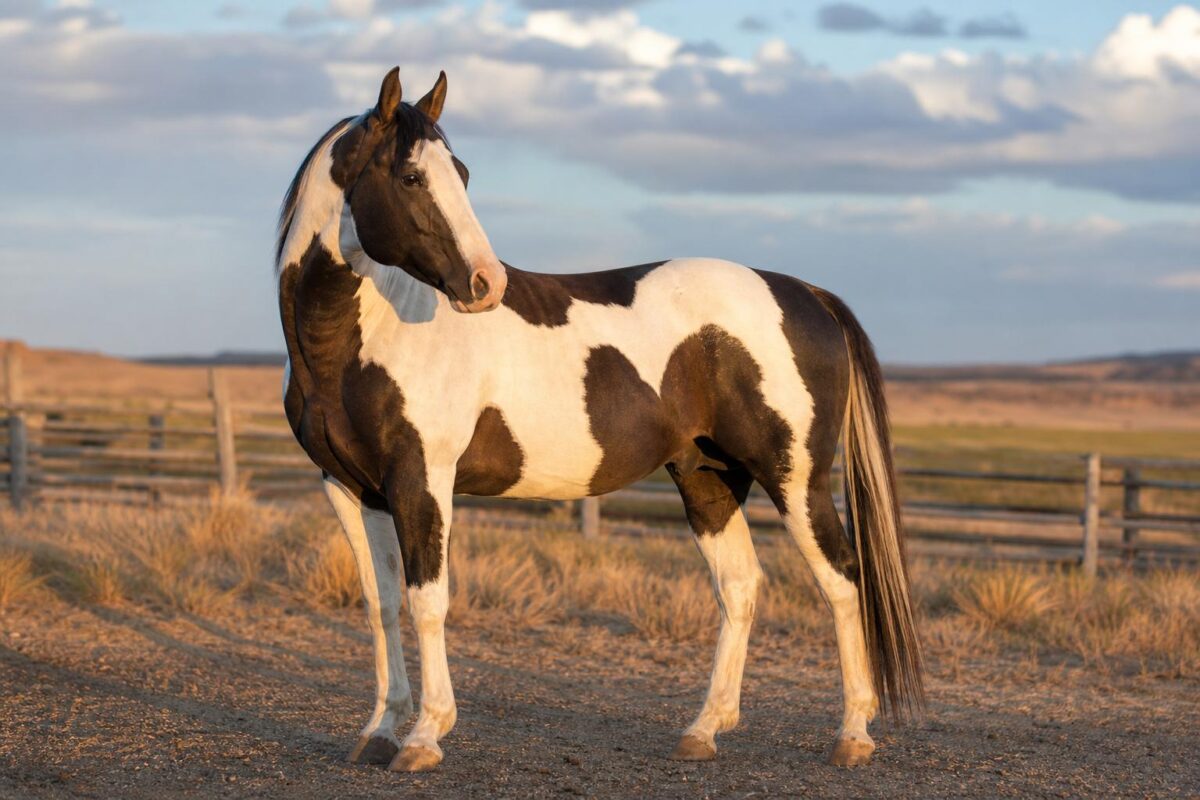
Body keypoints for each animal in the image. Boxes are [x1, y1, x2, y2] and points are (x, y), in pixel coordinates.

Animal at [276, 67, 924, 773]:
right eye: (413, 176)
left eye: (463, 173)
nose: (486, 284)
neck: (364, 339)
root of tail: (805, 293)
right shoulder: (354, 489)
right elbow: (382, 604)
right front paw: (381, 730)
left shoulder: (424, 479)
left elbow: (428, 603)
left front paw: (424, 737)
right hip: (707, 476)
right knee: (740, 586)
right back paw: (704, 729)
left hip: (796, 478)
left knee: (842, 581)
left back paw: (853, 734)